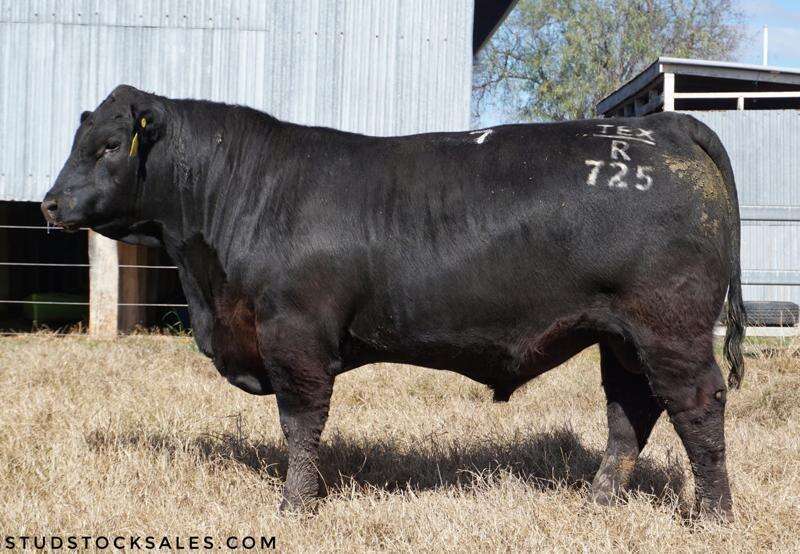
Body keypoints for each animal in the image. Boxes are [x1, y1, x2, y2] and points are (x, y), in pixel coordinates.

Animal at [42, 85, 745, 519]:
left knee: (697, 405)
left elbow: (301, 425)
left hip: (670, 327)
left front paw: (295, 506)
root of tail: (657, 123)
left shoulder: (295, 336)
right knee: (630, 413)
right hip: (621, 337)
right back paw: (597, 501)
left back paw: (713, 516)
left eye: (109, 145)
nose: (49, 204)